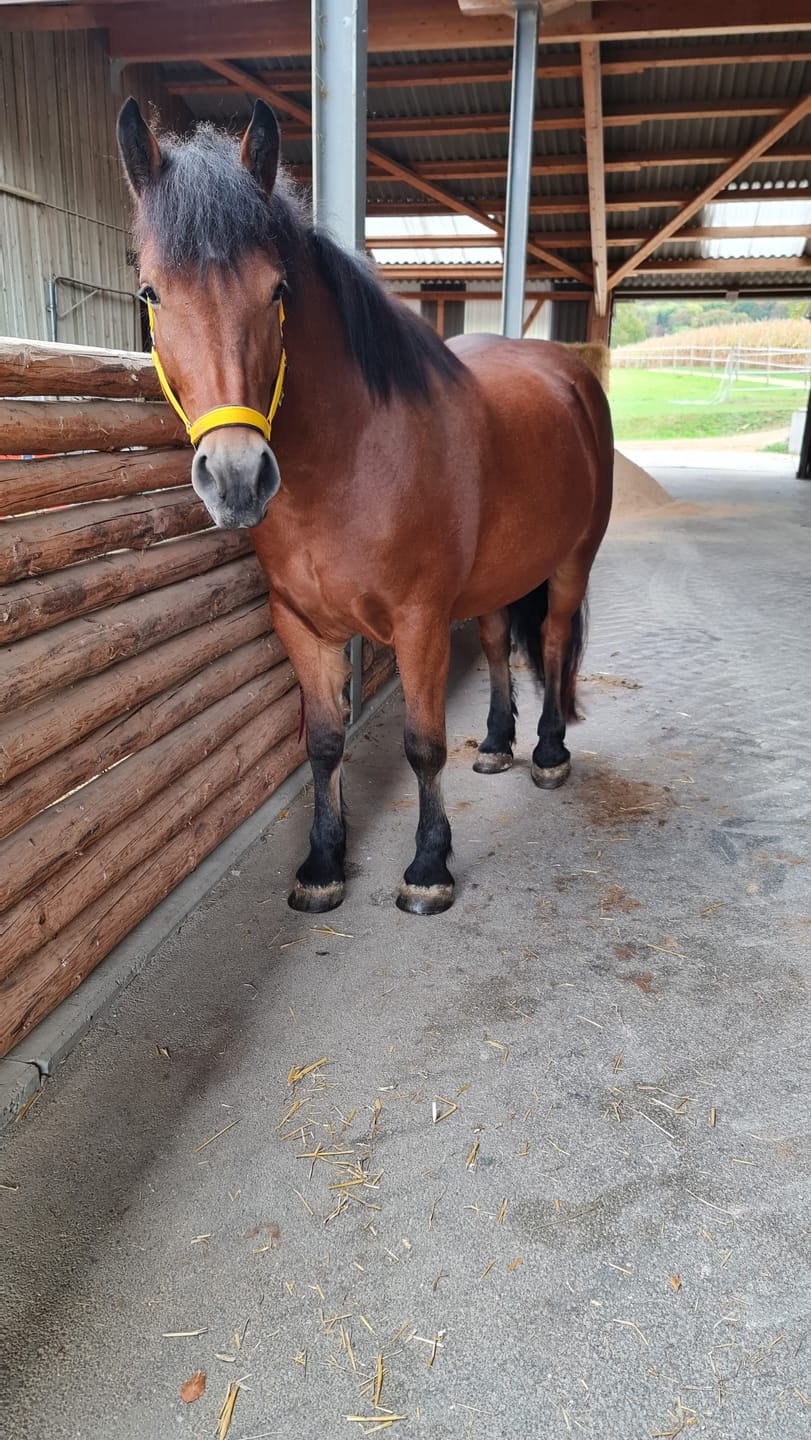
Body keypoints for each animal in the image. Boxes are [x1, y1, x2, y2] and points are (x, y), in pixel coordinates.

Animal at [117, 97, 614, 917]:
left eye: (277, 291)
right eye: (152, 293)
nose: (237, 478)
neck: (350, 463)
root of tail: (568, 374)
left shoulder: (417, 623)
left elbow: (422, 745)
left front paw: (428, 867)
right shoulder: (300, 623)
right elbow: (321, 743)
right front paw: (322, 865)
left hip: (572, 563)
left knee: (548, 642)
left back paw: (546, 753)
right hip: (495, 578)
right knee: (497, 644)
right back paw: (498, 746)